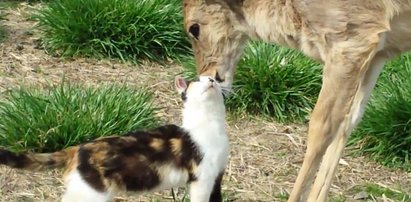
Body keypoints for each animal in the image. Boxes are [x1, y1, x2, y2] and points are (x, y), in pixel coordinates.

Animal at [0, 76, 230, 202]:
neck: (209, 124)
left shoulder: (217, 175)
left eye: (213, 79)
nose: (211, 80)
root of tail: (77, 148)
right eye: (198, 80)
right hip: (89, 193)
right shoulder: (202, 179)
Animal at [183, 0, 411, 201]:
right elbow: (347, 123)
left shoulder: (350, 43)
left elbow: (321, 128)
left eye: (194, 28)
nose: (207, 76)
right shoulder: (377, 54)